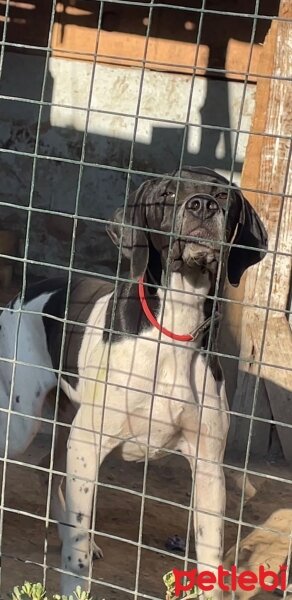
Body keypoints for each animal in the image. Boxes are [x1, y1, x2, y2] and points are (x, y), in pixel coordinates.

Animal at [0, 168, 266, 596]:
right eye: (168, 194)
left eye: (224, 195)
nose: (203, 206)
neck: (173, 329)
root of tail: (22, 294)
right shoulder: (87, 445)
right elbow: (75, 555)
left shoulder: (209, 466)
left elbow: (210, 556)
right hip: (23, 424)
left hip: (66, 422)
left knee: (46, 470)